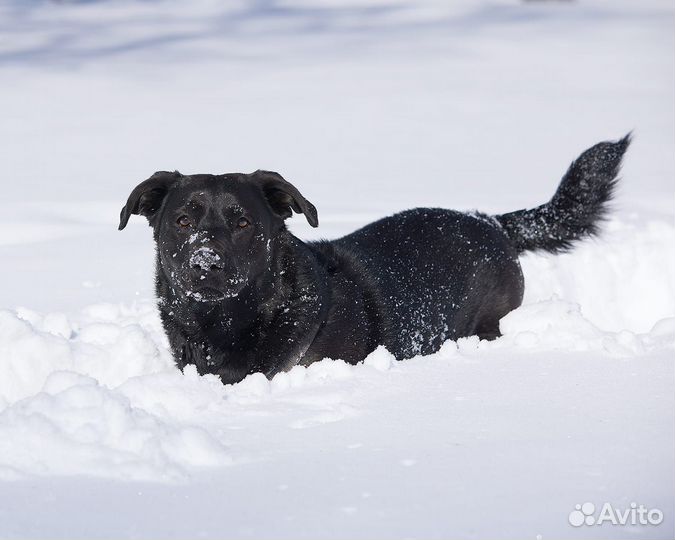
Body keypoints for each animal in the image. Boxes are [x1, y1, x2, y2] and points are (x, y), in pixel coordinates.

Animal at [119, 135, 632, 384]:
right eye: (182, 221)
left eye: (243, 222)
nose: (205, 264)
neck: (226, 322)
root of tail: (488, 219)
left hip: (492, 323)